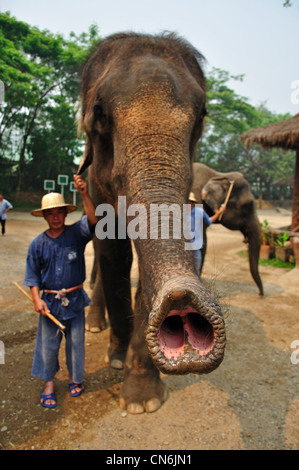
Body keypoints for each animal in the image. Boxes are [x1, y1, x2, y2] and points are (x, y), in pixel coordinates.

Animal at [78, 33, 226, 414]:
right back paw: (100, 332)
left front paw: (143, 400)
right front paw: (118, 360)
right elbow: (113, 252)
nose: (181, 299)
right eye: (99, 114)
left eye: (201, 116)